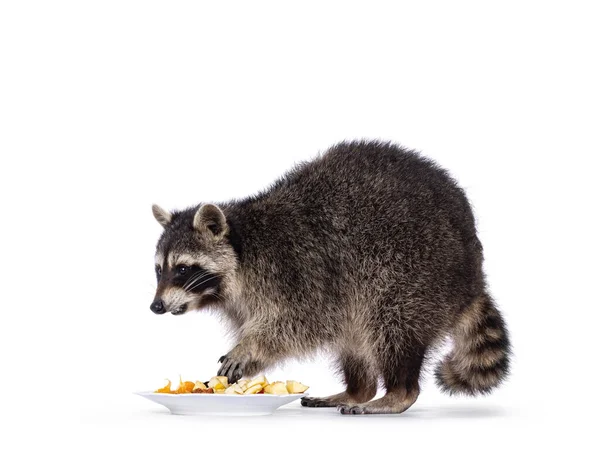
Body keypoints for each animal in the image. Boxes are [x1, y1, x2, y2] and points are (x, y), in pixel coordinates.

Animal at [148, 140, 508, 414]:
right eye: (158, 269)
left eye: (183, 269)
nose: (156, 307)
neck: (244, 249)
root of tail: (474, 277)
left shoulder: (299, 270)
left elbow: (300, 322)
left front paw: (251, 346)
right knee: (355, 340)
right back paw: (358, 389)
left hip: (417, 274)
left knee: (391, 326)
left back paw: (396, 393)